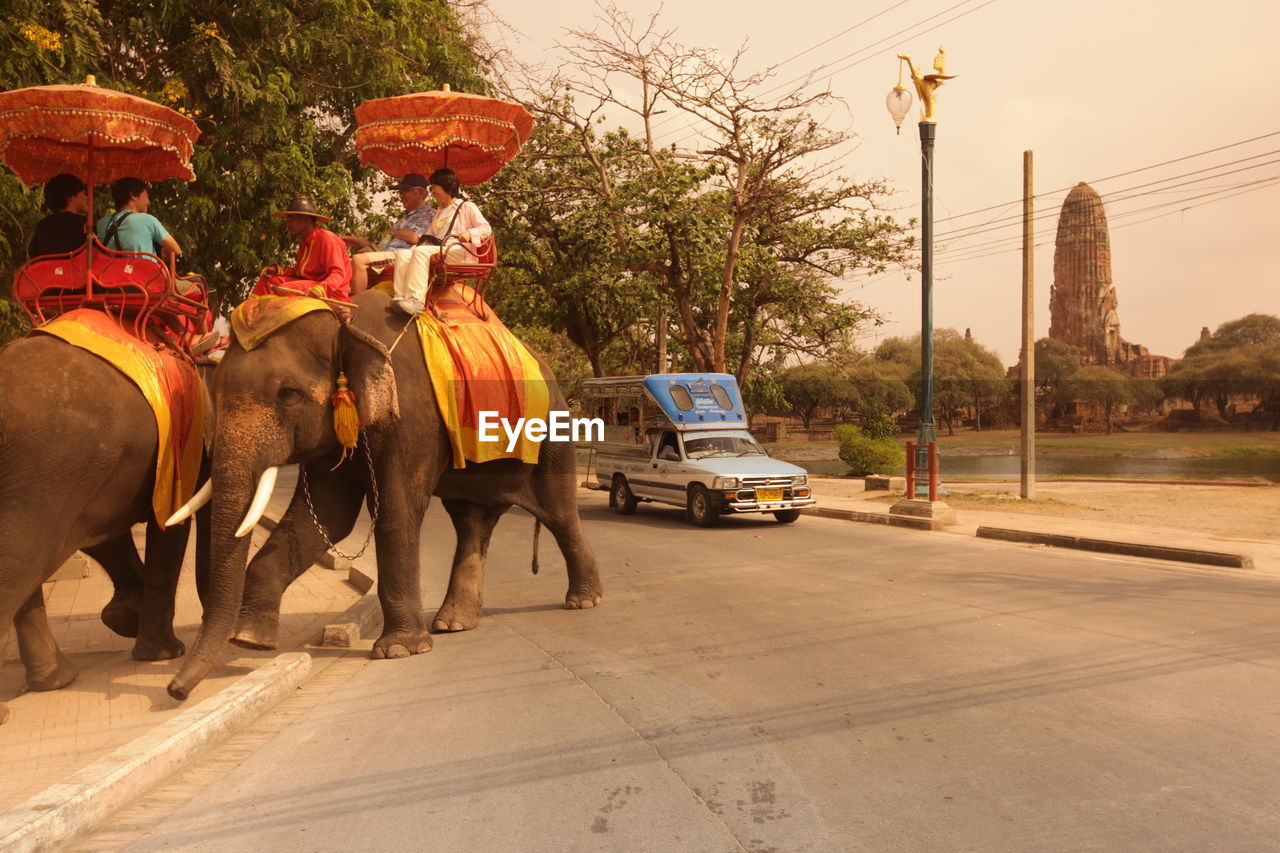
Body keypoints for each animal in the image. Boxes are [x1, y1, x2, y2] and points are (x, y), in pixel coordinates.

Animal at [1, 333, 207, 722]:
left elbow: (102, 537)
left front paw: (123, 617)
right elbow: (169, 525)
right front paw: (161, 652)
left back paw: (56, 681)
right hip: (48, 467)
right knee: (24, 560)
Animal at [167, 289, 601, 701]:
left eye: (288, 393)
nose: (175, 691)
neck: (345, 321)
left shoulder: (412, 416)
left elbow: (396, 510)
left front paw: (399, 651)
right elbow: (327, 516)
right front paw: (251, 640)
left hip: (554, 439)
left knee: (560, 515)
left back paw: (583, 602)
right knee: (471, 522)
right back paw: (453, 624)